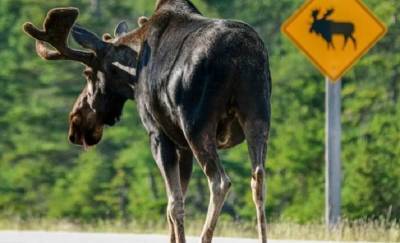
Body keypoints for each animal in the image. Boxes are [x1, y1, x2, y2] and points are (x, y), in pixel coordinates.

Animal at [22, 0, 272, 242]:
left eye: (88, 73)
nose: (76, 124)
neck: (133, 72)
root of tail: (238, 54)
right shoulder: (182, 144)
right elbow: (178, 199)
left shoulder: (158, 133)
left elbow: (173, 204)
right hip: (258, 117)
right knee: (258, 179)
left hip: (197, 126)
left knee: (220, 182)